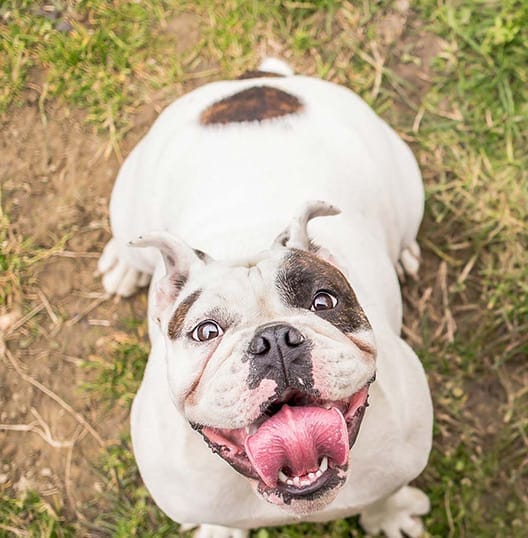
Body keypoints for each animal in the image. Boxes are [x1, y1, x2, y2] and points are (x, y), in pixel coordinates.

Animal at [99, 58, 434, 536]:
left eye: (324, 302)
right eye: (206, 331)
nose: (275, 339)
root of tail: (258, 80)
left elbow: (386, 495)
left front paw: (391, 518)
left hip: (406, 185)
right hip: (128, 198)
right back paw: (122, 264)